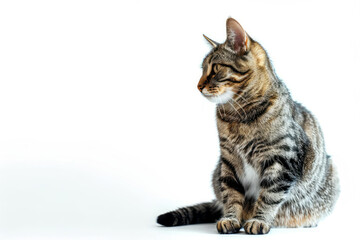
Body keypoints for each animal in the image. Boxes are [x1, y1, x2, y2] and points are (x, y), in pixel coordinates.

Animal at [156, 18, 338, 234]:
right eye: (202, 69)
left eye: (215, 68)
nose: (198, 86)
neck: (238, 116)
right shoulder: (229, 161)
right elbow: (232, 194)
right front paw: (231, 218)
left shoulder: (281, 160)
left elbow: (269, 196)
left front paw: (259, 220)